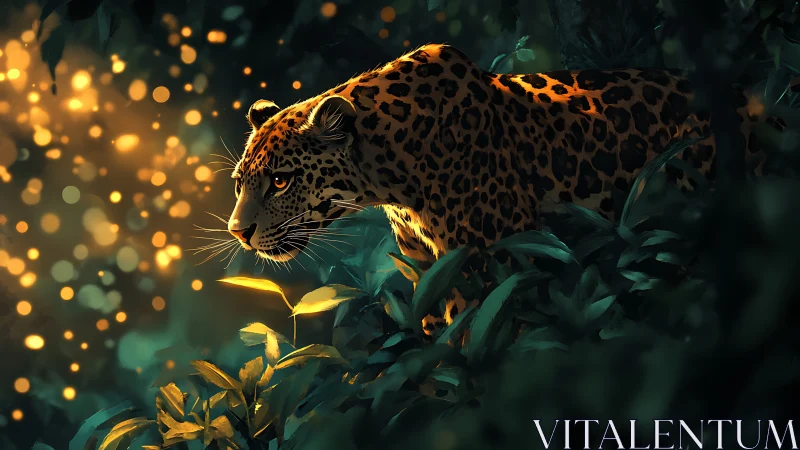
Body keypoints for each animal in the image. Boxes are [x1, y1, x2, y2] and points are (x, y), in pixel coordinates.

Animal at [226, 43, 771, 337]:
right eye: (239, 183)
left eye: (281, 180)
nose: (238, 231)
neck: (389, 174)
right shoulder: (429, 275)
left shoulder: (499, 264)